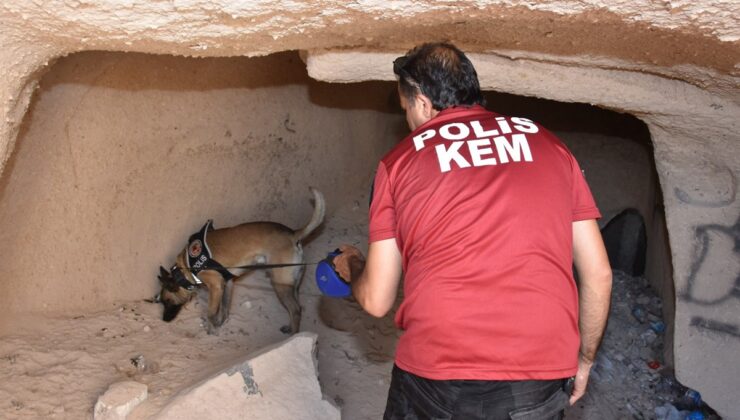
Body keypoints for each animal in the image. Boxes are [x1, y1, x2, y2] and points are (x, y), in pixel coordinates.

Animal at [156, 187, 324, 334]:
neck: (186, 267)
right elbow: (224, 309)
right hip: (292, 285)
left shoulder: (216, 286)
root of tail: (293, 234)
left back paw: (293, 336)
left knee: (295, 310)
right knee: (298, 307)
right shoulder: (227, 283)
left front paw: (212, 328)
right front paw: (220, 323)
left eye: (167, 301)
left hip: (280, 284)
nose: (164, 320)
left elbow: (211, 312)